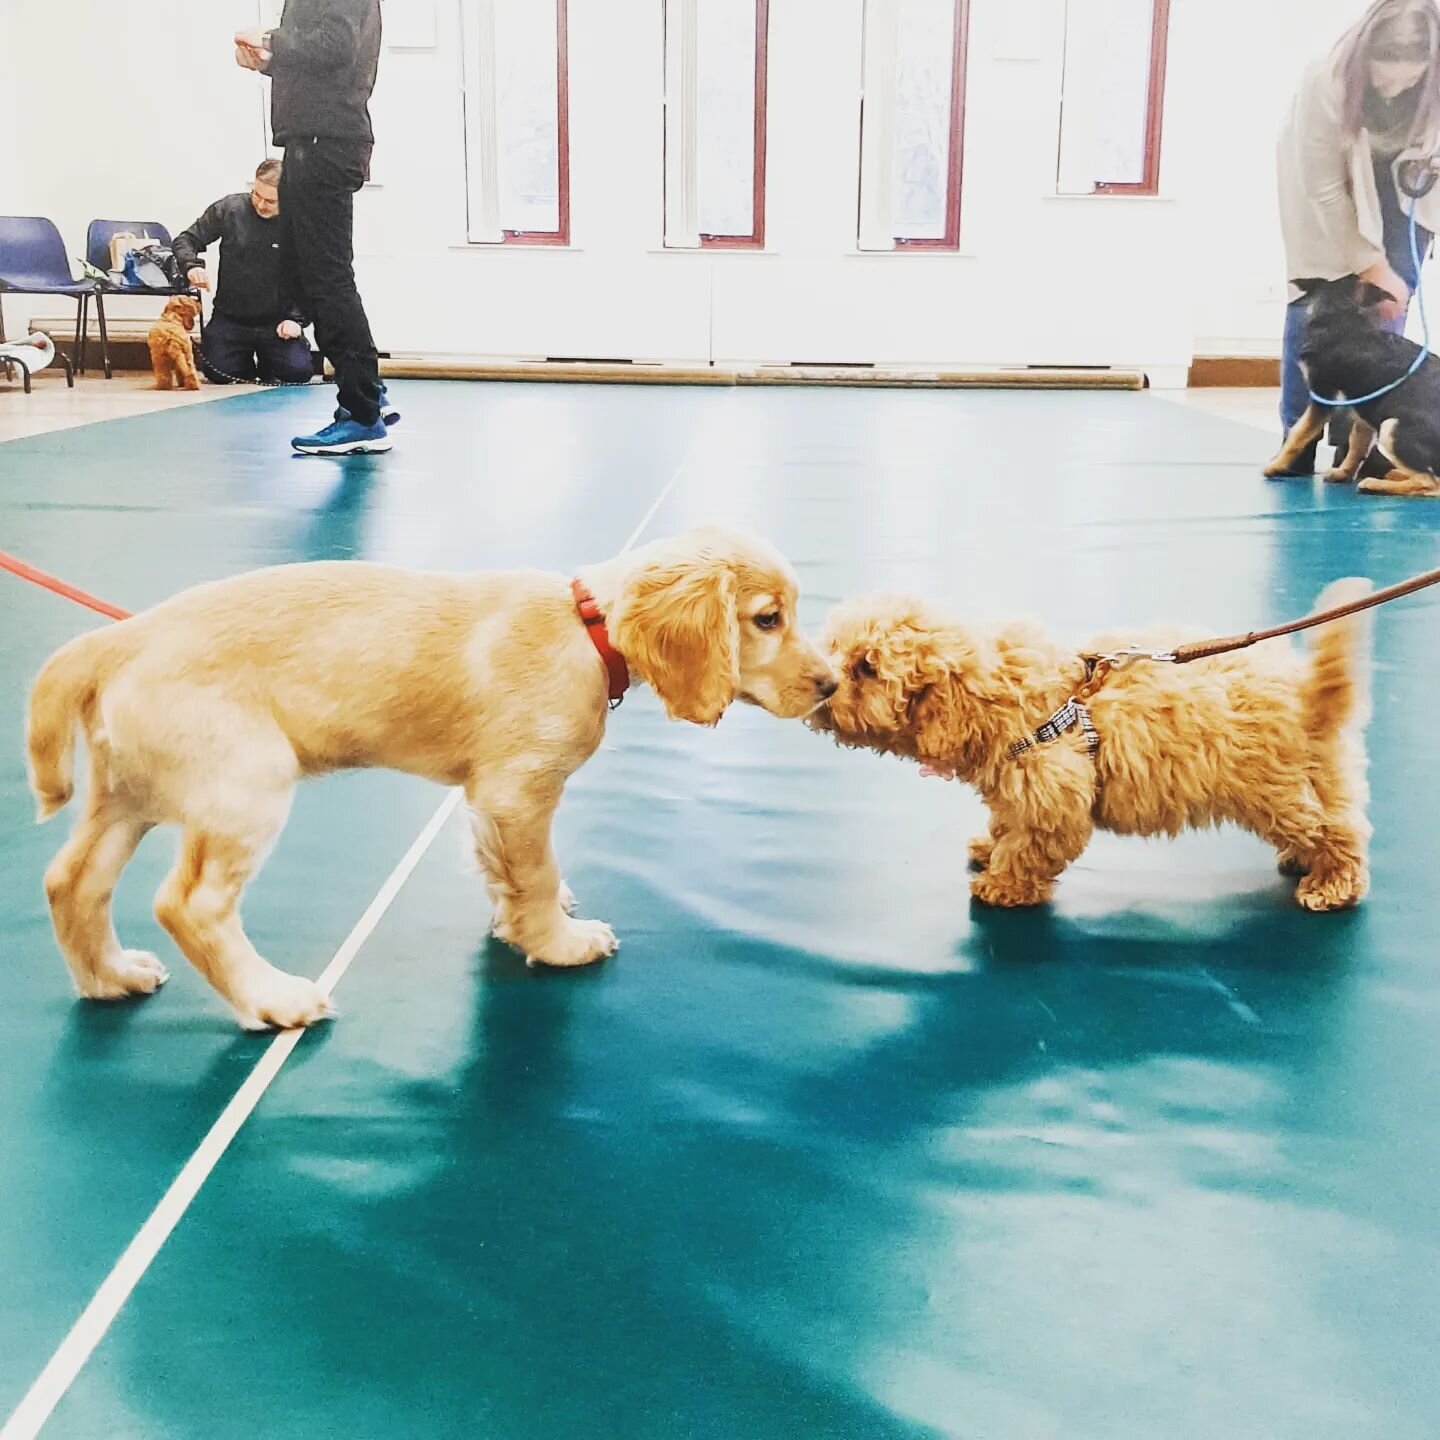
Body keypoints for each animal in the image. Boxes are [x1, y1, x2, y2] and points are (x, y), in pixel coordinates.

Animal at [812, 581, 1370, 910]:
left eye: (867, 668)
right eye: (835, 647)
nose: (824, 686)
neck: (995, 693)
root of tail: (1307, 692)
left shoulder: (1052, 799)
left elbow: (1028, 846)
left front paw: (1003, 885)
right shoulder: (1017, 790)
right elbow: (1005, 822)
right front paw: (989, 847)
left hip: (1275, 791)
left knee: (1337, 833)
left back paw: (1332, 883)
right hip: (1312, 777)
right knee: (1331, 816)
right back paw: (1303, 861)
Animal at [1267, 275, 1440, 501]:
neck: (1342, 315)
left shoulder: (1322, 397)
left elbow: (1299, 433)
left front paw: (1275, 466)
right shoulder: (1362, 406)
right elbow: (1357, 442)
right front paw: (1343, 472)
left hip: (1391, 428)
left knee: (1431, 483)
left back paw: (1374, 484)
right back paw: (1391, 474)